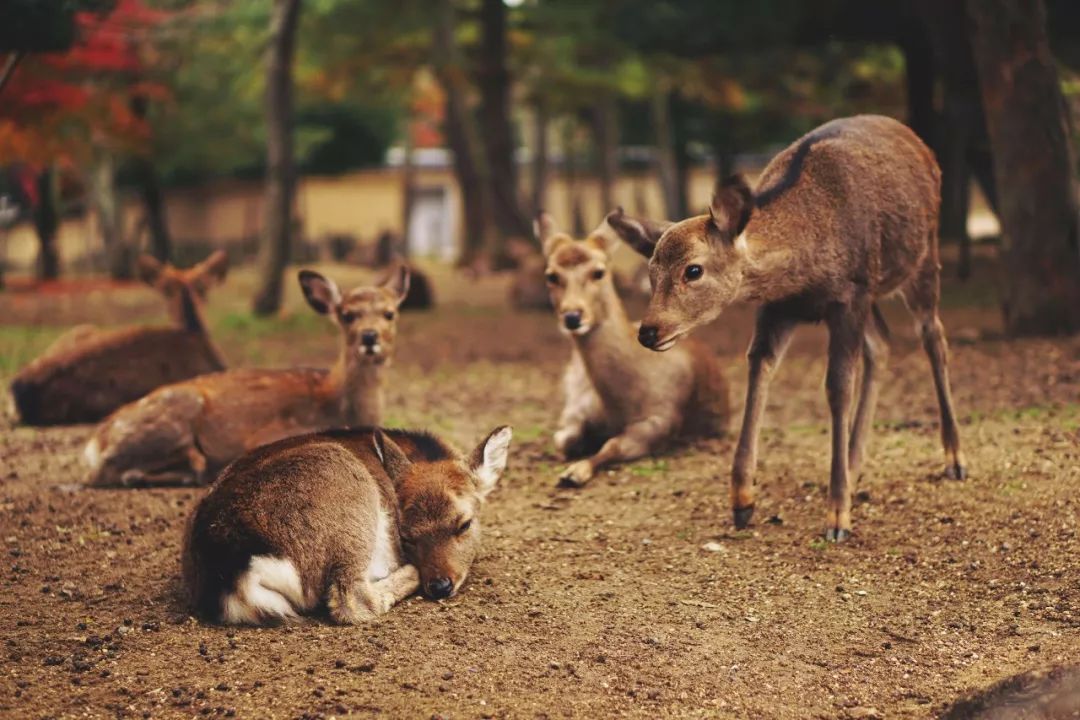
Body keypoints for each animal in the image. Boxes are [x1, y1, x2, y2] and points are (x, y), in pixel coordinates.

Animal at [83, 266, 408, 490]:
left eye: (390, 313)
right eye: (347, 314)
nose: (370, 336)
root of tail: (94, 443)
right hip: (172, 416)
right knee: (110, 471)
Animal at [182, 423, 514, 626]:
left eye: (464, 524)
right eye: (406, 537)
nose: (440, 585)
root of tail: (233, 573)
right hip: (348, 494)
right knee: (351, 599)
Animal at [535, 211, 730, 487]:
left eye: (599, 272)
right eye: (551, 275)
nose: (573, 317)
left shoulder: (661, 420)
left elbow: (613, 445)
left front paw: (574, 472)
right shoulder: (576, 407)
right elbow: (563, 438)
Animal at [609, 112, 972, 539]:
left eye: (693, 270)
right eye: (651, 273)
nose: (649, 330)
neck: (803, 270)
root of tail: (918, 142)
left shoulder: (849, 296)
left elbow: (837, 387)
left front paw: (837, 516)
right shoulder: (779, 307)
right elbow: (758, 368)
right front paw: (742, 501)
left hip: (922, 257)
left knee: (933, 337)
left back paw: (954, 459)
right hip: (874, 295)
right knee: (882, 343)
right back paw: (853, 464)